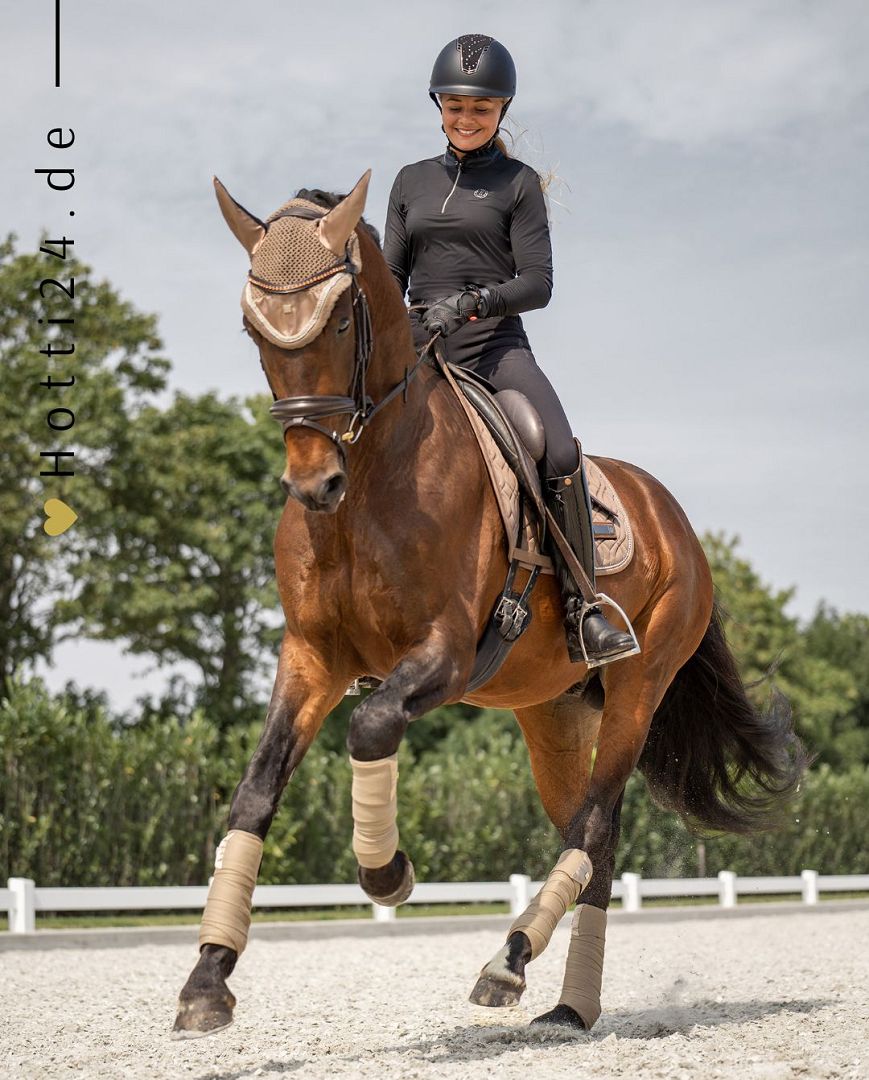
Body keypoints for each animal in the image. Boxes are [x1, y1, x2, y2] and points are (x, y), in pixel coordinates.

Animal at [172, 170, 803, 1036]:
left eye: (342, 317)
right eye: (251, 326)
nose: (312, 483)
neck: (369, 487)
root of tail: (669, 511)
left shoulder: (442, 655)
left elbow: (370, 727)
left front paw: (388, 874)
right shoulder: (311, 658)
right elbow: (256, 789)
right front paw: (207, 978)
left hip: (637, 687)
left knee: (594, 823)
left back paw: (508, 964)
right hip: (552, 710)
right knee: (591, 839)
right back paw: (568, 1004)